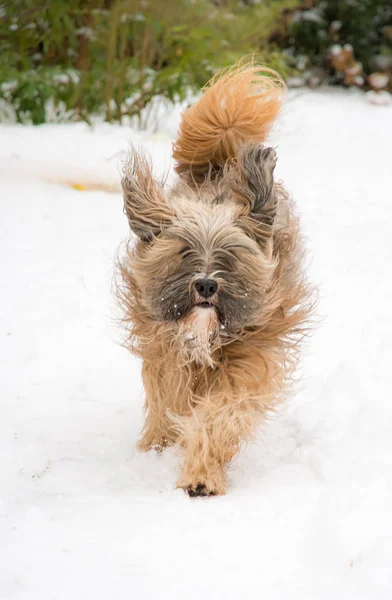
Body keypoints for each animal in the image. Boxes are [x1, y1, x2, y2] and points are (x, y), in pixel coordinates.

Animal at [118, 62, 314, 496]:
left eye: (230, 256)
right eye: (183, 252)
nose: (207, 285)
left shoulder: (249, 359)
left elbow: (220, 413)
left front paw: (202, 476)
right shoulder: (167, 353)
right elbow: (169, 396)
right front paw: (168, 447)